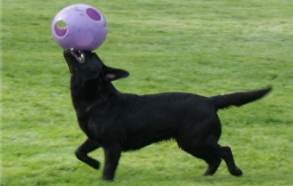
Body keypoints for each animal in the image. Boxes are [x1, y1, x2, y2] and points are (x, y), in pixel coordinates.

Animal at [62, 48, 270, 181]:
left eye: (92, 55)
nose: (86, 48)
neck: (96, 99)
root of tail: (210, 101)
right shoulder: (95, 139)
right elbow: (79, 152)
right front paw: (94, 163)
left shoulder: (112, 145)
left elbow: (108, 169)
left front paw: (103, 176)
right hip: (193, 143)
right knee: (215, 159)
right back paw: (206, 177)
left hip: (194, 140)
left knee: (224, 151)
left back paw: (235, 171)